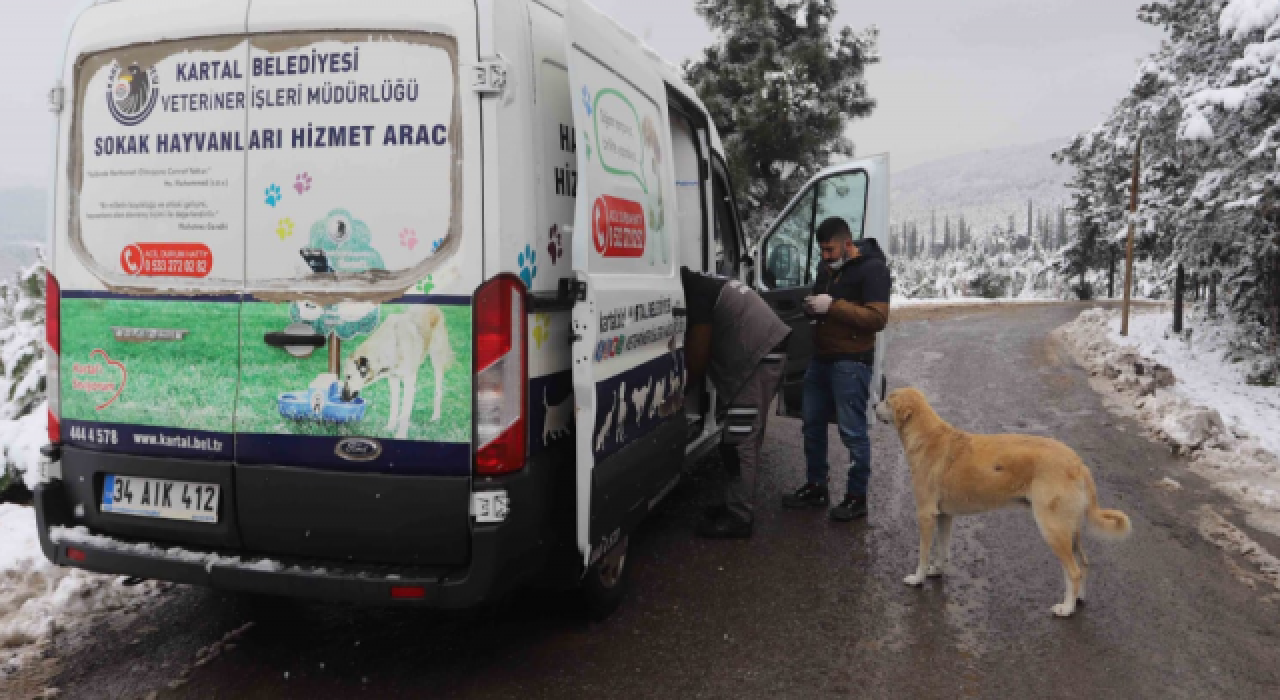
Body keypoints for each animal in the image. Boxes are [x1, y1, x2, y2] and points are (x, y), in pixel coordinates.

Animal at [880, 389, 1131, 619]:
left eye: (888, 399)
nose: (873, 405)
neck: (927, 436)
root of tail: (1078, 464)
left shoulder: (925, 515)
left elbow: (922, 554)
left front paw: (917, 579)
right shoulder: (944, 516)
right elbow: (942, 550)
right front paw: (937, 571)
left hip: (1053, 529)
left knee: (1074, 571)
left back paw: (1067, 608)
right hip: (1070, 530)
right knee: (1085, 563)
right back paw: (1078, 599)